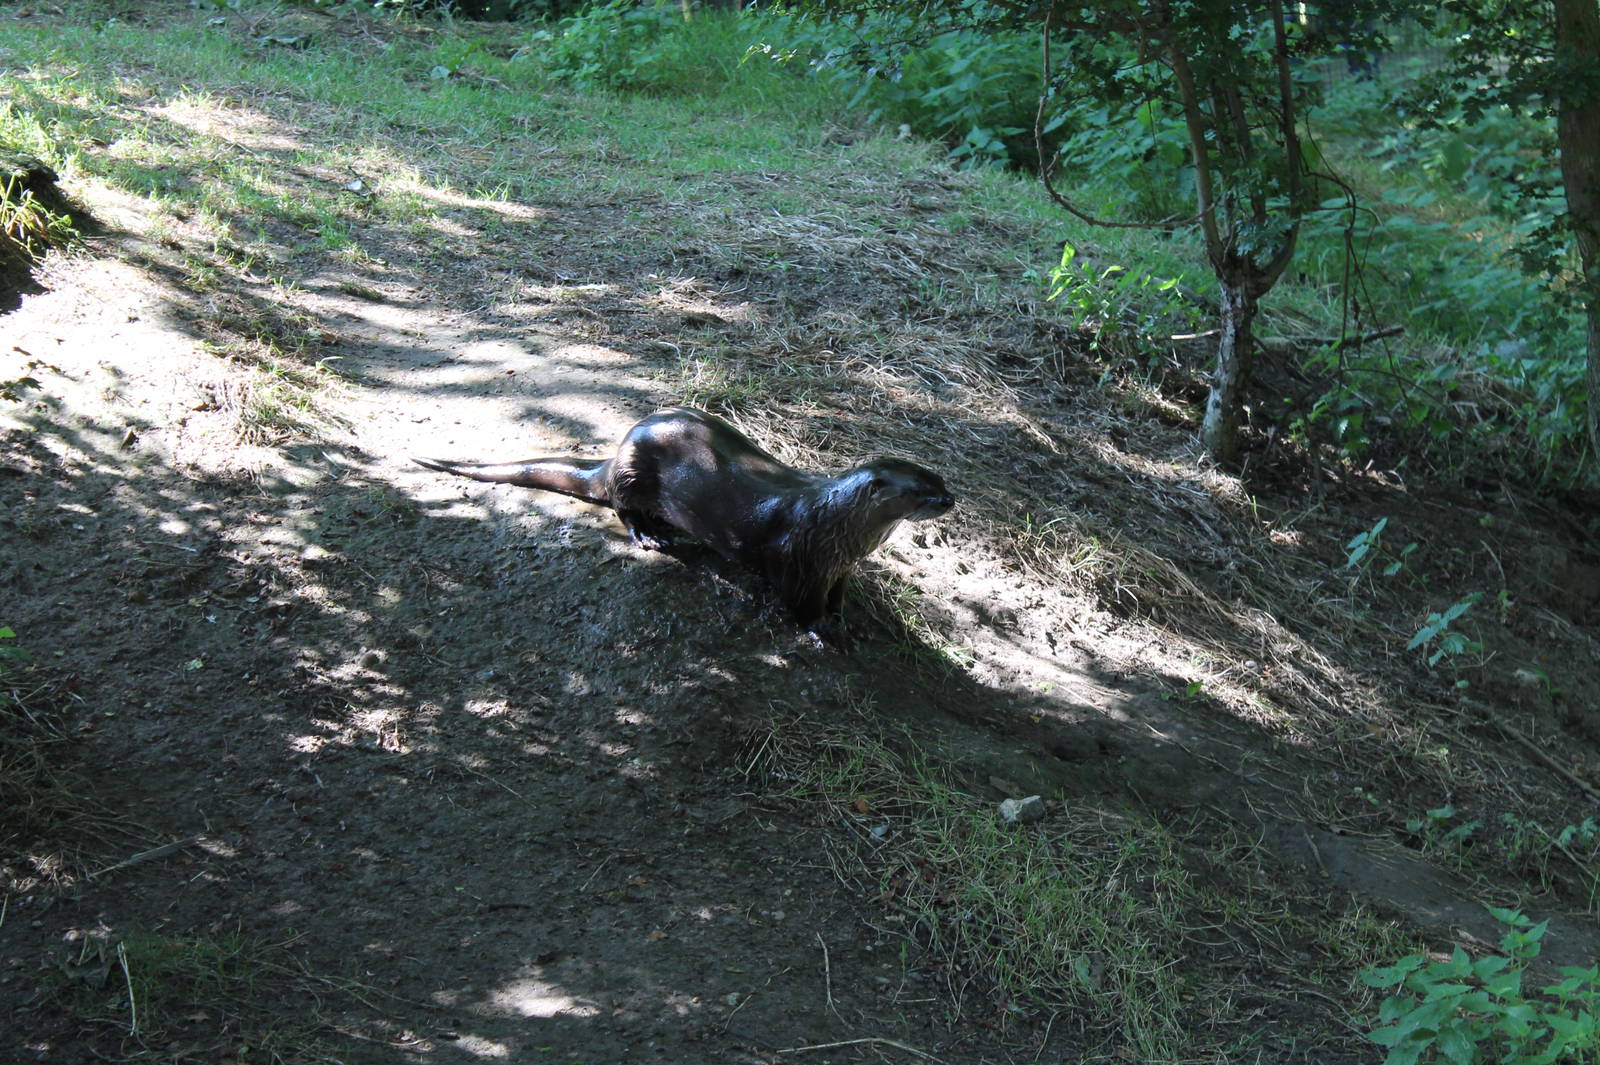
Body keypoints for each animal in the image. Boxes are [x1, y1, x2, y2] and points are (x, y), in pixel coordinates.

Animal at [415, 407, 954, 648]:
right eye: (920, 491)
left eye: (941, 481)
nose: (949, 500)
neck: (833, 526)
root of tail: (615, 454)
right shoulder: (799, 564)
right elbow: (799, 608)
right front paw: (821, 632)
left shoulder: (837, 565)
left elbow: (841, 595)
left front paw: (847, 618)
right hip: (633, 478)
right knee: (623, 510)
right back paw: (652, 537)